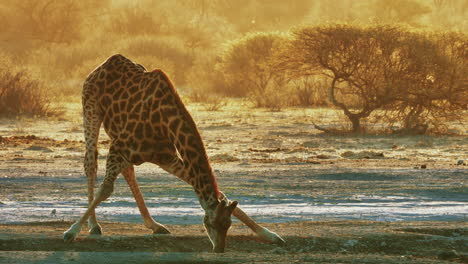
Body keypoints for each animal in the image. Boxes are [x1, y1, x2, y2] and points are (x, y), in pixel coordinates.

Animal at [63, 54, 284, 254]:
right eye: (210, 222)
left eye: (228, 224)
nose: (219, 249)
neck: (165, 123)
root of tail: (104, 64)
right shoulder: (118, 146)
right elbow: (106, 190)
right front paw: (71, 232)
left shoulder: (166, 157)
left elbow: (219, 193)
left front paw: (270, 235)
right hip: (91, 108)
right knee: (90, 162)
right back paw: (94, 226)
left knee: (128, 170)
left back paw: (154, 225)